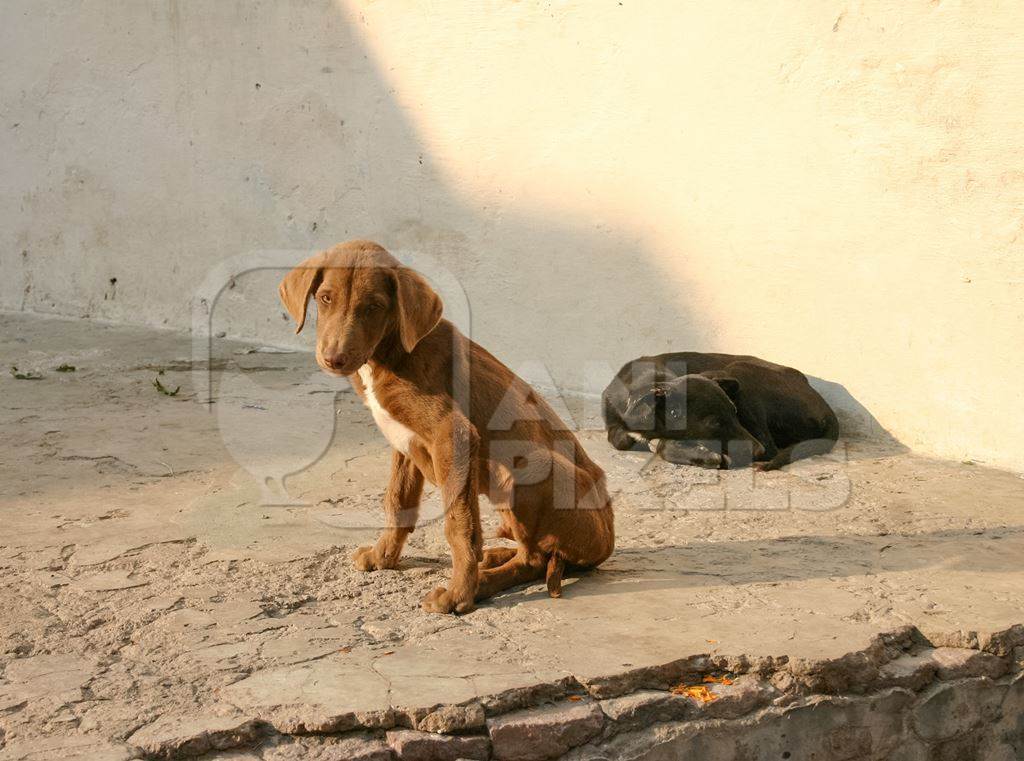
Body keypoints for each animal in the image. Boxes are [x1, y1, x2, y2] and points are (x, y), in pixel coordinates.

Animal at [280, 240, 610, 614]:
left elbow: (458, 525)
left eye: (374, 307)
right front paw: (382, 557)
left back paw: (482, 583)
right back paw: (494, 556)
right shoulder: (404, 442)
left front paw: (459, 594)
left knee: (535, 559)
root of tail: (607, 541)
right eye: (325, 298)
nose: (334, 359)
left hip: (530, 467)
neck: (392, 352)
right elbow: (398, 501)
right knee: (537, 553)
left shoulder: (453, 434)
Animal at [602, 352, 835, 471]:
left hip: (740, 369)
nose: (757, 452)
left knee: (771, 447)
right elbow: (620, 439)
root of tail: (826, 410)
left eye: (735, 411)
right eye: (713, 423)